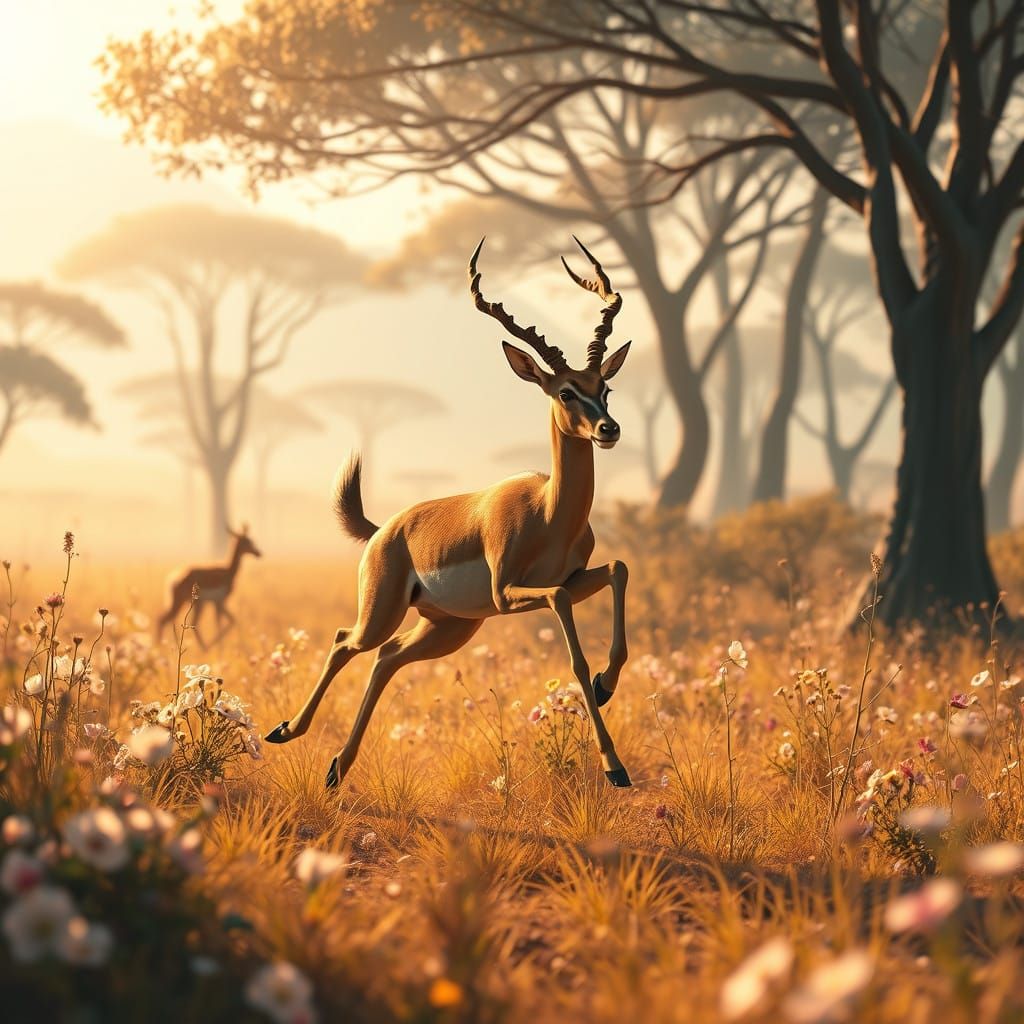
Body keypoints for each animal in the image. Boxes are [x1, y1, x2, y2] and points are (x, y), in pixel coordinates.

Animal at [265, 238, 633, 789]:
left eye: (604, 388)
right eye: (566, 390)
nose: (608, 429)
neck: (548, 513)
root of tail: (384, 530)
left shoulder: (571, 576)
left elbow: (617, 568)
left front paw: (607, 685)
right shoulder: (510, 593)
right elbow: (568, 628)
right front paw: (614, 766)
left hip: (449, 627)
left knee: (386, 658)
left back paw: (335, 767)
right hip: (389, 612)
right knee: (344, 641)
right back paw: (286, 731)